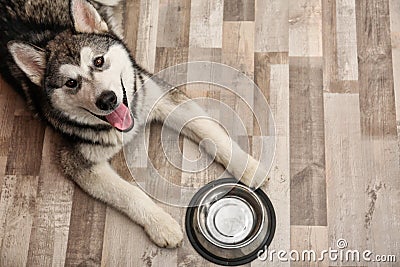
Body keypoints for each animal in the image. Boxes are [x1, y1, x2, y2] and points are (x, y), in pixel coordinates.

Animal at [0, 0, 268, 249]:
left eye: (98, 61)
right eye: (71, 83)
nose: (107, 99)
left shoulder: (164, 97)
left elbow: (212, 133)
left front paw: (248, 167)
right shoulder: (77, 161)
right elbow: (129, 194)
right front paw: (161, 224)